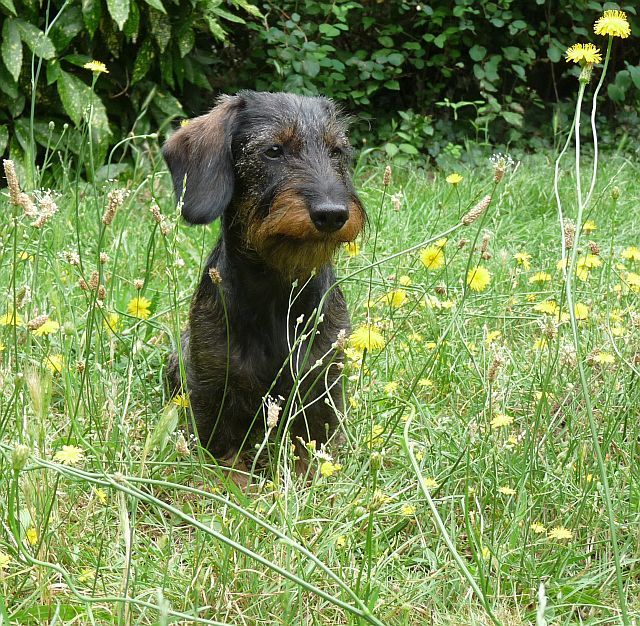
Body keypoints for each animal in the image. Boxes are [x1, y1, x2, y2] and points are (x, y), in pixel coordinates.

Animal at [162, 90, 364, 478]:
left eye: (336, 152)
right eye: (273, 150)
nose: (332, 214)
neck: (277, 292)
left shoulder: (320, 388)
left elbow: (308, 452)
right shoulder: (214, 389)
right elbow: (226, 458)